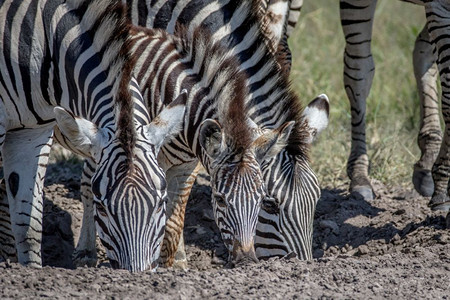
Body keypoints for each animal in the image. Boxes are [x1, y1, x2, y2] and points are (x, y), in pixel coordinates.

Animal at [0, 0, 186, 272]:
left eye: (161, 203)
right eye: (101, 207)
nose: (137, 275)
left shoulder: (32, 133)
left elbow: (29, 224)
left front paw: (30, 269)